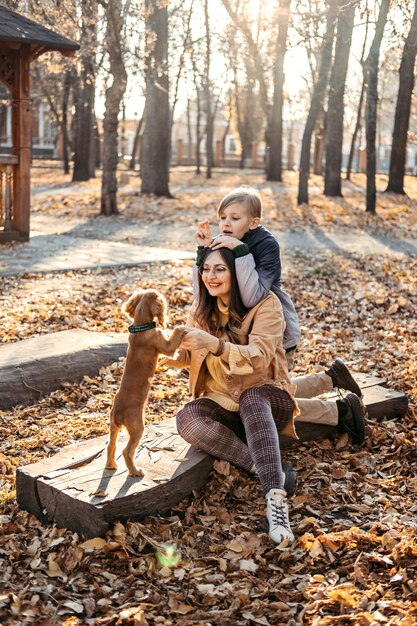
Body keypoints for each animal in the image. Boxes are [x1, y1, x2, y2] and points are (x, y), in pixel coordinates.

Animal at [106, 288, 186, 472]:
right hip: (137, 428)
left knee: (111, 446)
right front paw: (181, 327)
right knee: (127, 451)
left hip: (113, 427)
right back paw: (135, 472)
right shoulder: (167, 347)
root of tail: (119, 412)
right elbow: (174, 337)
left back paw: (111, 466)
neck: (140, 327)